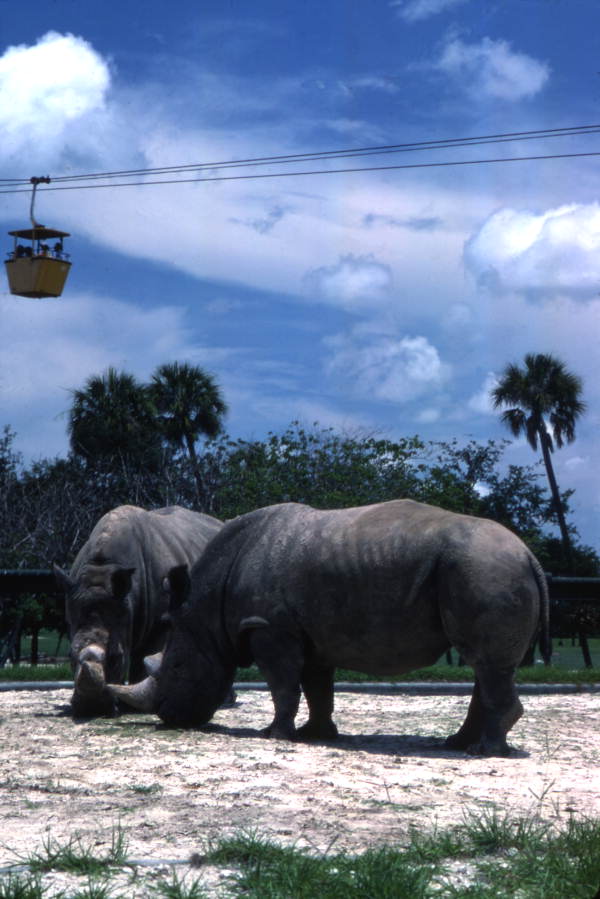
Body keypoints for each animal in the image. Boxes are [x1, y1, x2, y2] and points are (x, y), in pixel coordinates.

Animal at [54, 504, 222, 717]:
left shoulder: (160, 620)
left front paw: (134, 707)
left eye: (116, 658)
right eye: (69, 656)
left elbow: (146, 657)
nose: (91, 709)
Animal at [110, 500, 550, 756]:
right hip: (487, 568)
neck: (205, 610)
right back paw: (458, 744)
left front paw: (275, 736)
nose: (168, 717)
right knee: (484, 665)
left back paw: (486, 751)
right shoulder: (309, 633)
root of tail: (529, 554)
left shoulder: (271, 628)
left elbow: (284, 686)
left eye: (176, 669)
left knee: (487, 664)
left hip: (485, 568)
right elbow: (317, 688)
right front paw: (316, 735)